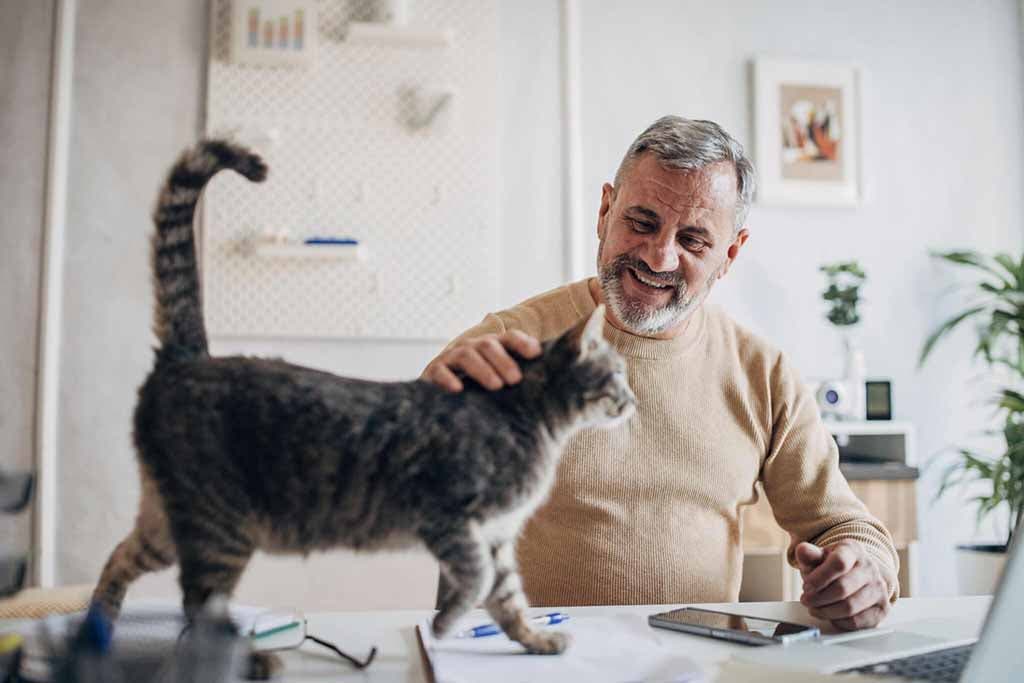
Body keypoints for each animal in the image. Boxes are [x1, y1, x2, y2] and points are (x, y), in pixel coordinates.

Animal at [92, 140, 634, 679]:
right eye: (617, 375)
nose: (632, 400)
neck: (529, 419)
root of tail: (189, 357)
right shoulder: (449, 517)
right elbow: (477, 581)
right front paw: (444, 625)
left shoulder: (497, 536)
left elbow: (508, 598)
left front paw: (534, 639)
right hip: (219, 527)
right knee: (198, 604)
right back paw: (249, 659)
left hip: (172, 519)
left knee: (119, 558)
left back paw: (99, 627)